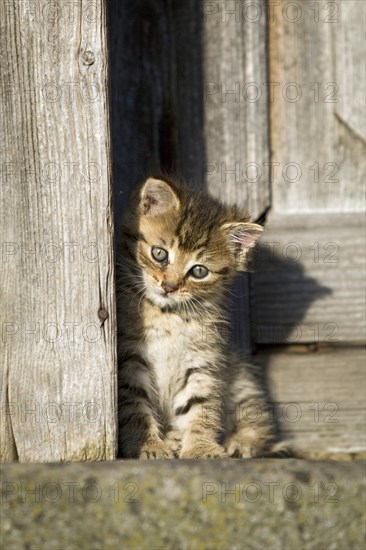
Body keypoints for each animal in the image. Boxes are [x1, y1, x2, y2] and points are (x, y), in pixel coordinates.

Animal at [117, 177, 280, 462]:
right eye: (159, 254)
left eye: (199, 271)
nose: (169, 287)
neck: (168, 315)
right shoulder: (130, 359)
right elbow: (136, 406)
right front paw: (148, 445)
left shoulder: (202, 361)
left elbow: (201, 405)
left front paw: (202, 448)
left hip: (240, 377)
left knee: (256, 416)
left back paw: (241, 442)